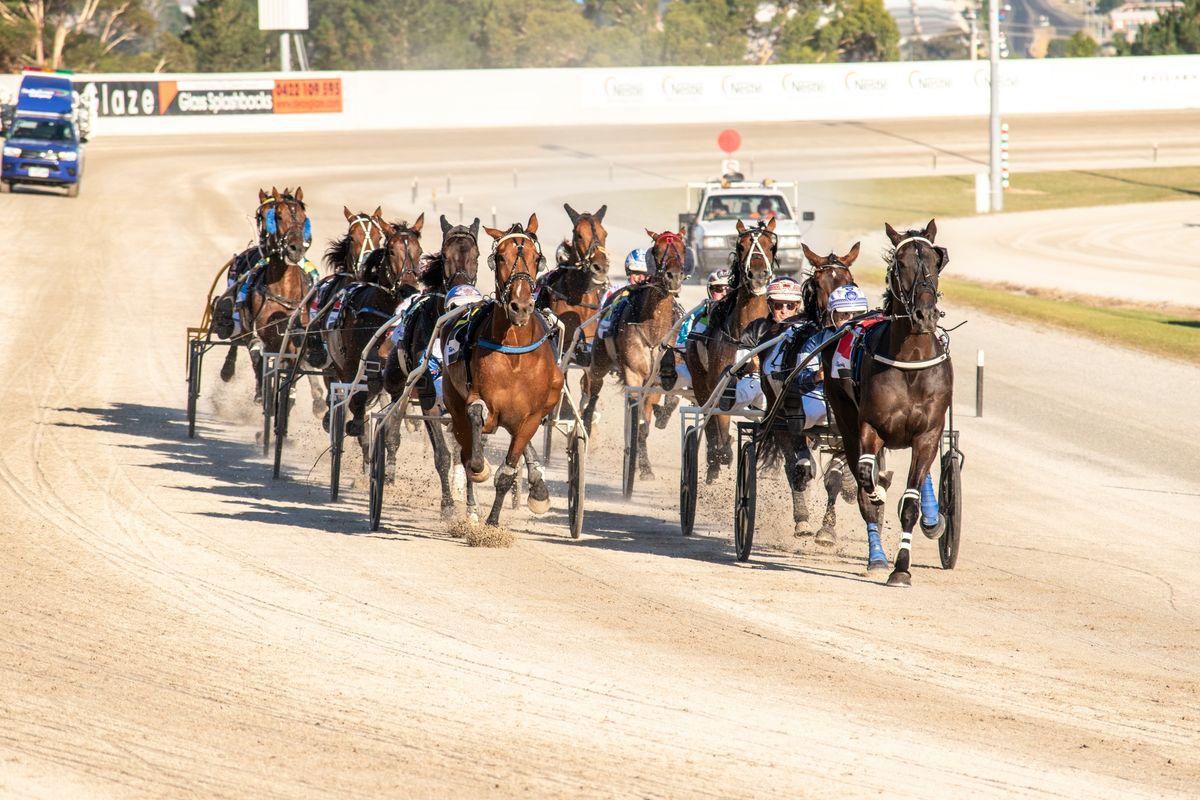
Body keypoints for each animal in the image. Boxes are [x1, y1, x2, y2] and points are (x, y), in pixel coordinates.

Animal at [381, 214, 480, 513]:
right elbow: (442, 454)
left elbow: (465, 451)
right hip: (397, 380)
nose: (462, 299)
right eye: (445, 255)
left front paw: (471, 507)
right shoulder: (427, 396)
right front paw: (448, 506)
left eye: (477, 255)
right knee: (394, 416)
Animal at [441, 212, 561, 527]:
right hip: (451, 400)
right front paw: (479, 469)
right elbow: (475, 424)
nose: (520, 306)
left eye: (537, 258)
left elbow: (508, 470)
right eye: (500, 257)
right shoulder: (478, 401)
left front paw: (493, 524)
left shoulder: (530, 417)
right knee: (465, 442)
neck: (515, 354)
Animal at [580, 225, 686, 479]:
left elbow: (644, 425)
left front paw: (644, 466)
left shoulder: (655, 381)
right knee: (592, 393)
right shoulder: (633, 374)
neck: (654, 330)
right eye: (656, 250)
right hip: (599, 361)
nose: (674, 276)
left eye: (683, 248)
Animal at [686, 215, 777, 482]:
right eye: (741, 246)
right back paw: (715, 457)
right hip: (699, 377)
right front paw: (722, 452)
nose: (757, 275)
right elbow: (720, 416)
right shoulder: (720, 381)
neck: (747, 336)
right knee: (709, 413)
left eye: (770, 246)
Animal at [820, 219, 950, 587]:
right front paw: (876, 493)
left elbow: (910, 502)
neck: (911, 361)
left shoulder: (928, 434)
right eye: (900, 264)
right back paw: (876, 554)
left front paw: (902, 568)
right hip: (845, 420)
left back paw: (932, 519)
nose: (924, 314)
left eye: (935, 261)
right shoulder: (868, 427)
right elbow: (866, 481)